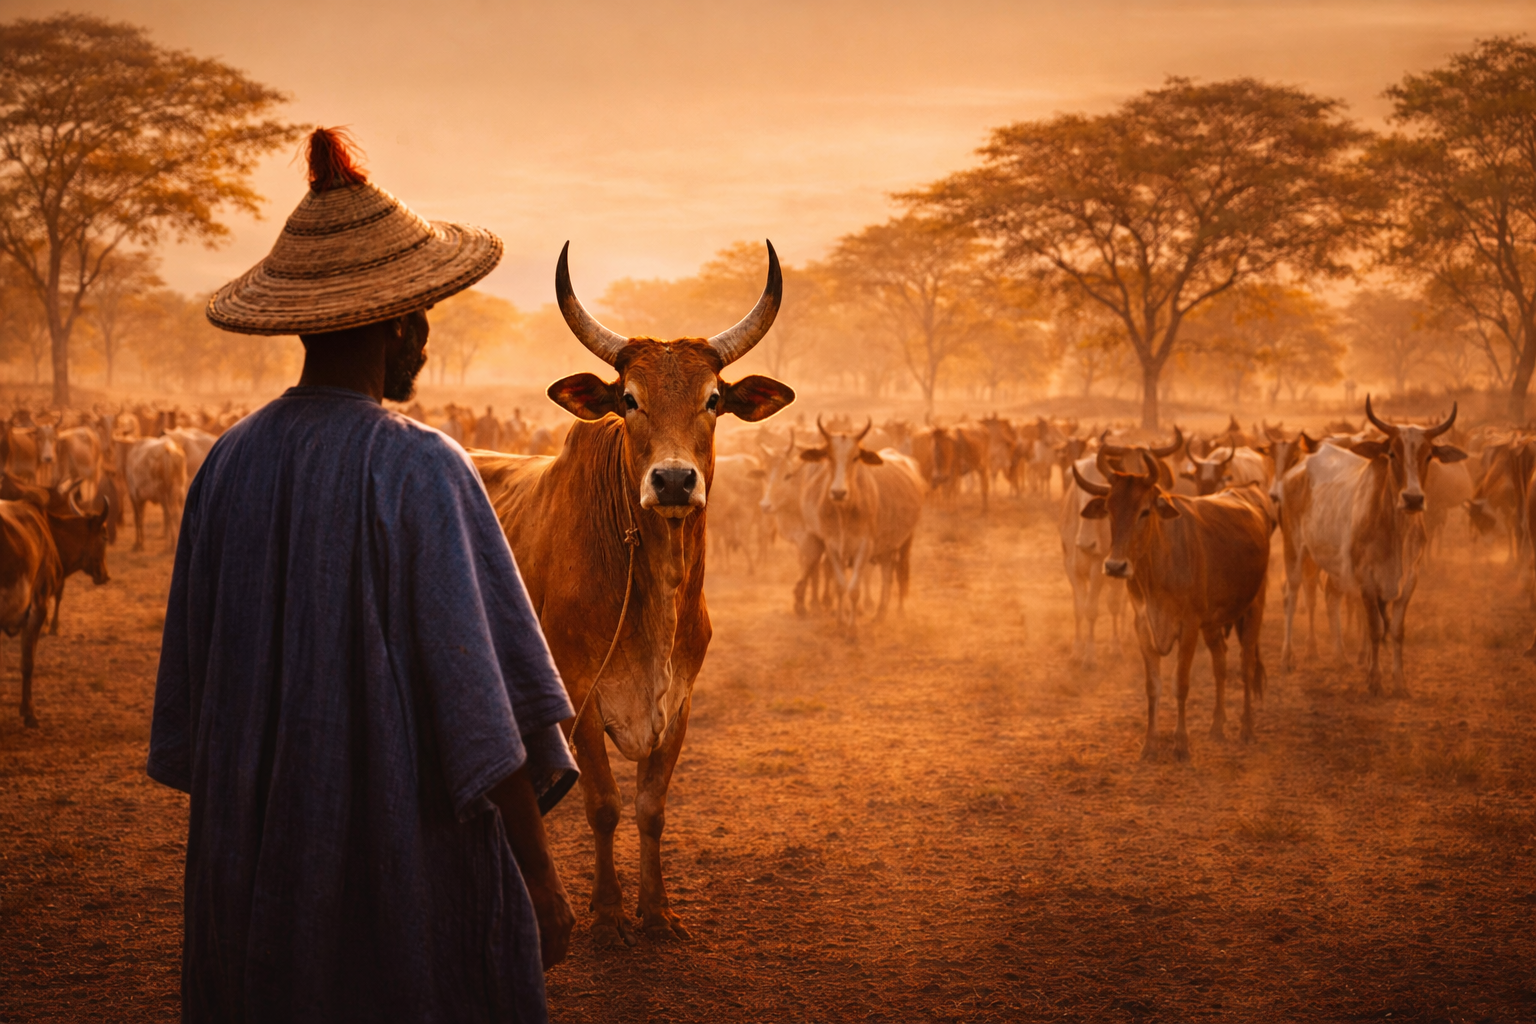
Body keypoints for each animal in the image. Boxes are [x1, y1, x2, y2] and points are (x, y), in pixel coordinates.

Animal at [471, 242, 793, 946]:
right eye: (629, 398)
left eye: (713, 399)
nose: (673, 480)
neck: (657, 595)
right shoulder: (579, 696)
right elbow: (604, 805)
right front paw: (609, 913)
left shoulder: (681, 701)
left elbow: (650, 808)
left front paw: (657, 911)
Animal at [1059, 453, 1127, 668]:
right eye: (1078, 492)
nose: (1086, 543)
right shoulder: (1070, 567)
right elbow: (1079, 608)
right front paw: (1077, 649)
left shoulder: (1099, 568)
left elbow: (1091, 609)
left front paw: (1089, 655)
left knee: (1117, 603)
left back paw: (1118, 643)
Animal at [1074, 451, 1271, 760]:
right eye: (1109, 509)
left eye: (1144, 511)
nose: (1115, 566)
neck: (1159, 566)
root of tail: (1248, 495)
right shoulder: (1143, 624)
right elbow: (1153, 687)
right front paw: (1150, 744)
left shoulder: (1188, 626)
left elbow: (1180, 683)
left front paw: (1181, 744)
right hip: (1212, 623)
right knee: (1220, 663)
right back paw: (1217, 726)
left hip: (1253, 608)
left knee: (1246, 665)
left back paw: (1247, 729)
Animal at [1279, 398, 1465, 695]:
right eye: (1391, 454)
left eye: (1428, 456)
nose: (1413, 499)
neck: (1396, 530)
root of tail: (1301, 465)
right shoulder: (1366, 578)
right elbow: (1375, 627)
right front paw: (1375, 679)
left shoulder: (1410, 577)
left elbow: (1397, 630)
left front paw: (1399, 682)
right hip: (1295, 549)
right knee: (1291, 595)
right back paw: (1288, 658)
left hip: (1334, 563)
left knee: (1331, 597)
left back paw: (1340, 656)